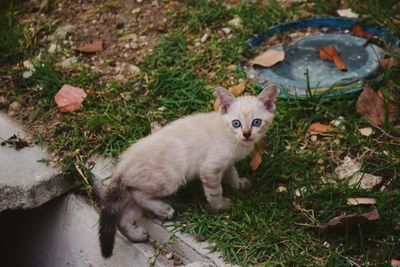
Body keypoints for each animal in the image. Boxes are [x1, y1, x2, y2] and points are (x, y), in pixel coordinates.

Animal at [99, 85, 278, 258]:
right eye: (236, 123)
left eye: (256, 122)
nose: (247, 134)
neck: (234, 140)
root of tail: (122, 163)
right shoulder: (210, 168)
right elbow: (215, 192)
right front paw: (220, 206)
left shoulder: (226, 164)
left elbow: (232, 175)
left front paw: (239, 186)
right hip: (169, 181)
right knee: (138, 194)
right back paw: (164, 210)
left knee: (125, 214)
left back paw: (137, 235)